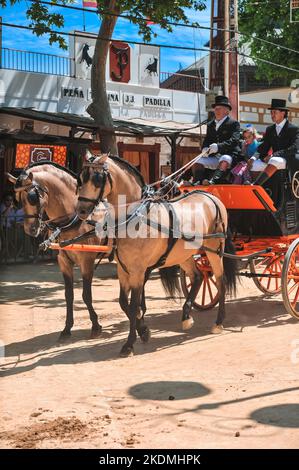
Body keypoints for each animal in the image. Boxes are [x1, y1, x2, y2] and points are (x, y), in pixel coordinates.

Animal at [76, 154, 238, 356]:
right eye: (81, 178)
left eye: (97, 179)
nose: (81, 210)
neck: (135, 217)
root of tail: (211, 197)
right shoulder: (123, 270)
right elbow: (124, 303)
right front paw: (144, 331)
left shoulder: (138, 271)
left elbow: (133, 306)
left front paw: (129, 343)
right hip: (184, 255)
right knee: (198, 277)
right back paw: (186, 317)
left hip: (214, 251)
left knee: (220, 281)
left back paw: (218, 322)